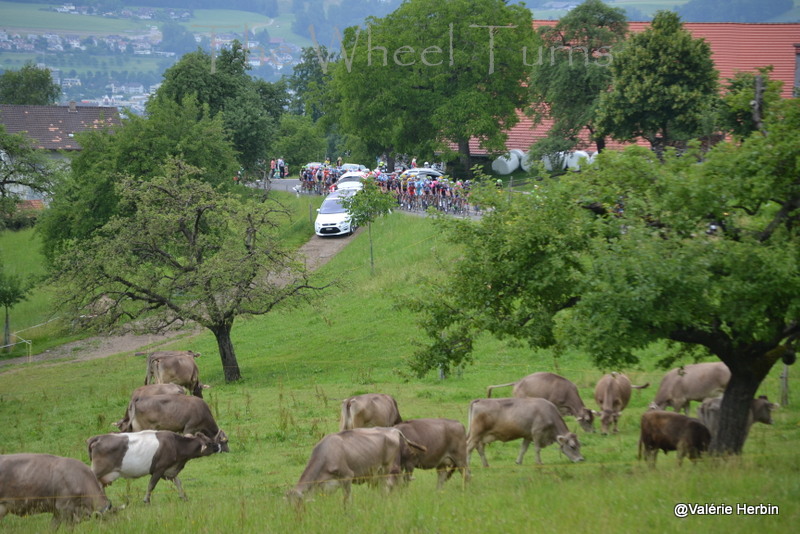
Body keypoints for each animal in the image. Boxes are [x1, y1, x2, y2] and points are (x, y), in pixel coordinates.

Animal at [87, 430, 225, 504]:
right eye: (209, 442)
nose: (219, 447)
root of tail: (98, 437)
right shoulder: (159, 468)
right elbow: (151, 485)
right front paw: (146, 500)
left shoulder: (169, 470)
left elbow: (178, 482)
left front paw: (184, 497)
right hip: (97, 470)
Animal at [286, 428, 424, 506]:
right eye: (288, 506)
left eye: (298, 504)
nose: (297, 518)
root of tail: (393, 430)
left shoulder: (347, 476)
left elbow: (347, 499)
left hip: (388, 468)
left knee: (390, 485)